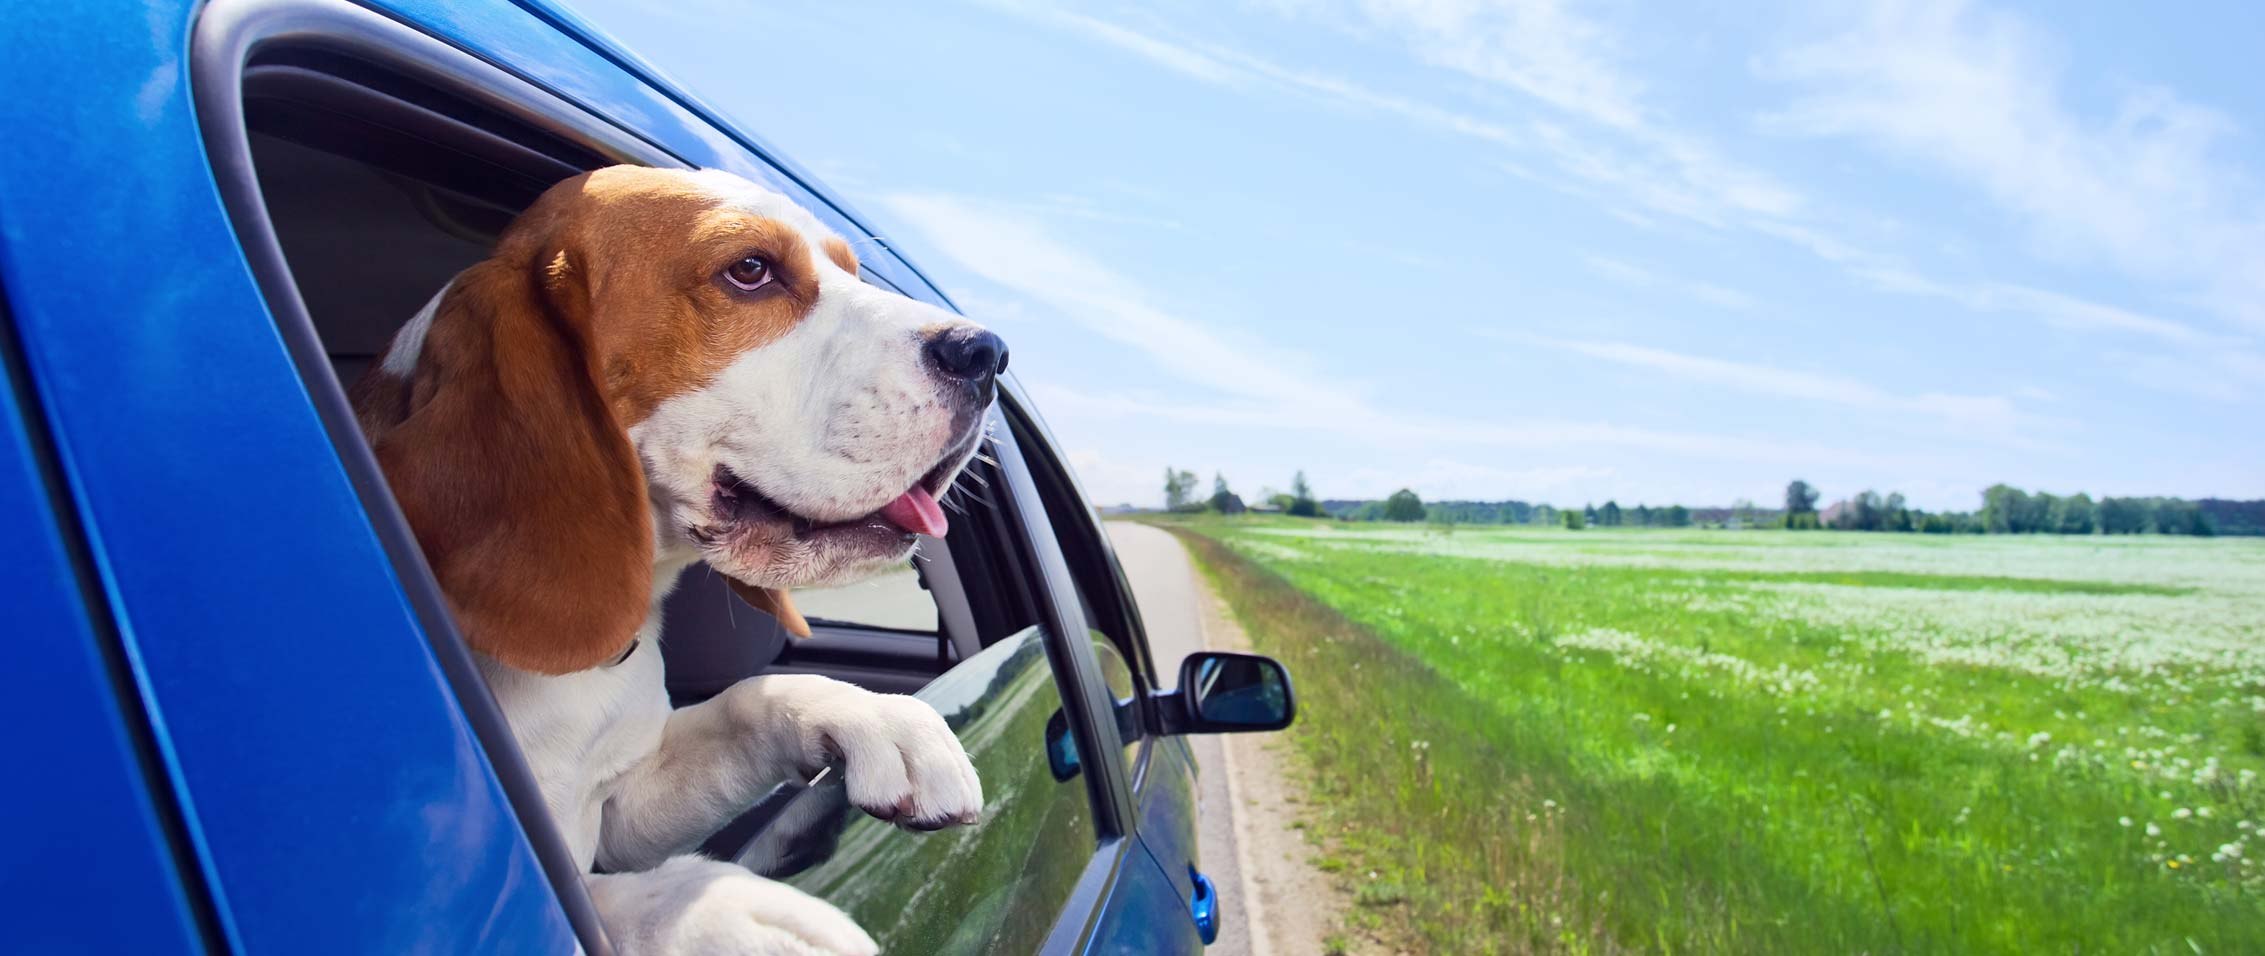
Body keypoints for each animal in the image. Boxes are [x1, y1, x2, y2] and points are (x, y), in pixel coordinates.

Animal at [346, 166, 1001, 956]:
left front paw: (880, 717)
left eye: (848, 269)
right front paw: (732, 915)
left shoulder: (625, 805)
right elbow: (607, 902)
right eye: (749, 270)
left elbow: (750, 699)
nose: (986, 353)